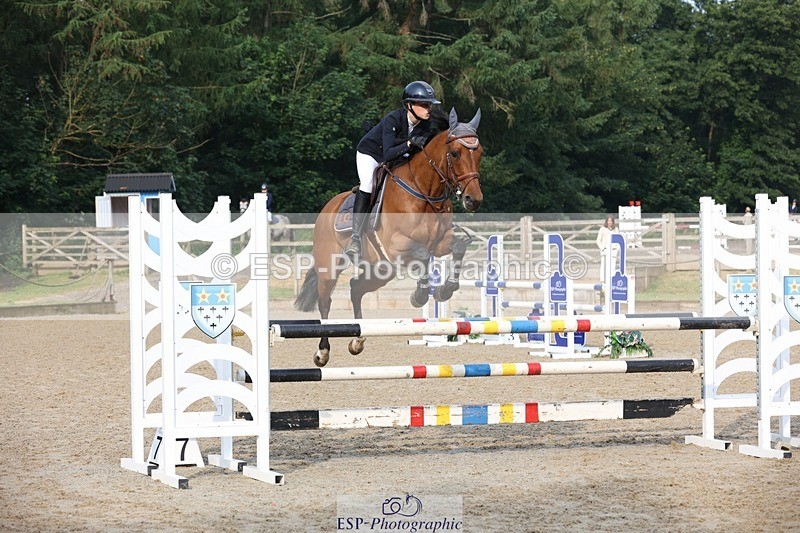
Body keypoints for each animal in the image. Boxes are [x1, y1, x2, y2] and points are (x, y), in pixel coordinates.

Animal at [294, 107, 484, 367]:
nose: (473, 200)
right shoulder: (398, 245)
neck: (425, 193)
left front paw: (445, 290)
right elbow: (423, 255)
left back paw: (357, 341)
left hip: (381, 270)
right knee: (325, 303)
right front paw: (419, 295)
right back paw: (323, 352)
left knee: (355, 288)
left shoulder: (440, 242)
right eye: (455, 153)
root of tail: (327, 208)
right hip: (331, 267)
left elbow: (458, 248)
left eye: (480, 153)